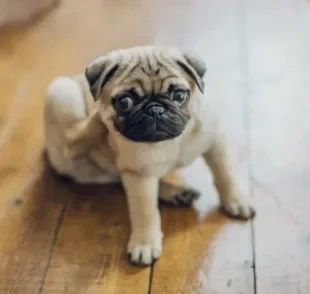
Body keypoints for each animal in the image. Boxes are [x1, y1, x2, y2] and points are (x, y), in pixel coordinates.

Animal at [44, 45, 256, 266]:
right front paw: (144, 244)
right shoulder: (138, 174)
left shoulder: (216, 142)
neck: (171, 141)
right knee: (75, 141)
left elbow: (225, 174)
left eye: (179, 95)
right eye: (124, 102)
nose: (155, 109)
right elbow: (145, 211)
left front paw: (236, 200)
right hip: (61, 96)